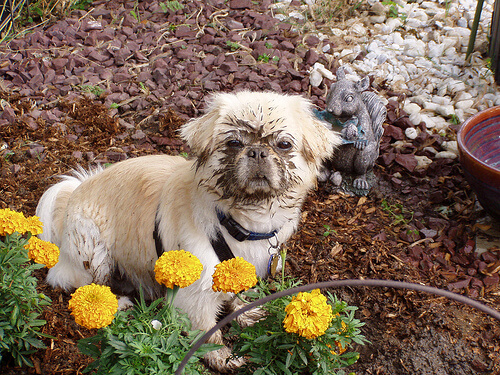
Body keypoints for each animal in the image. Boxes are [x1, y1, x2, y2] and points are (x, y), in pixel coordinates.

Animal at [35, 90, 340, 370]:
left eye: (284, 144)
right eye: (233, 143)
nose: (257, 151)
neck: (242, 222)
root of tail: (73, 195)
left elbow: (236, 295)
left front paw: (245, 313)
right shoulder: (195, 293)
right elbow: (206, 332)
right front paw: (220, 357)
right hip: (92, 247)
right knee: (83, 284)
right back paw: (118, 302)